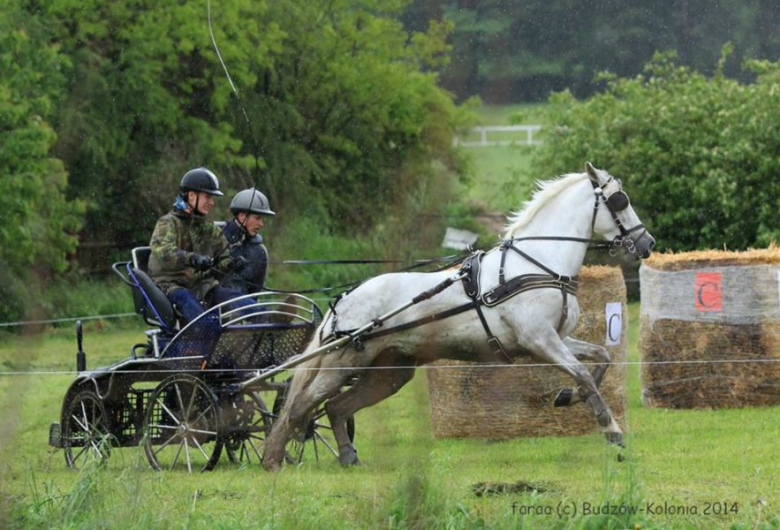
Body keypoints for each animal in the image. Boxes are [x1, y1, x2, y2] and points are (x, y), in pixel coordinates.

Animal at [262, 163, 652, 468]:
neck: (538, 262)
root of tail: (344, 300)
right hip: (340, 363)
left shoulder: (560, 338)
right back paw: (273, 458)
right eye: (620, 200)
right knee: (299, 405)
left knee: (337, 406)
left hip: (390, 372)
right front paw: (612, 431)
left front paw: (569, 397)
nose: (647, 243)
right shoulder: (539, 341)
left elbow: (601, 359)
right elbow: (584, 373)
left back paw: (346, 456)